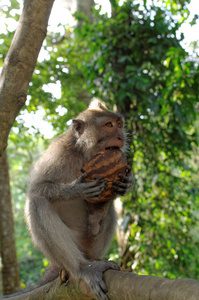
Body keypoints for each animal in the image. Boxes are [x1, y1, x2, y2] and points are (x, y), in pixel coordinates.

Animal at [23, 99, 135, 300]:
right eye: (109, 125)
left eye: (119, 125)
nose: (120, 137)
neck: (84, 154)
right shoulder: (59, 153)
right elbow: (37, 188)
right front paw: (77, 190)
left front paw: (129, 183)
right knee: (37, 202)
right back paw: (84, 268)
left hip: (91, 244)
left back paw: (96, 224)